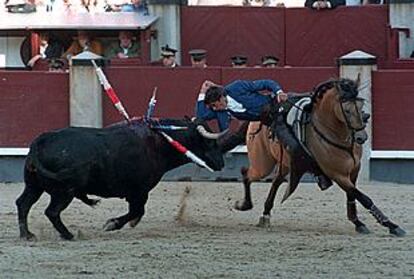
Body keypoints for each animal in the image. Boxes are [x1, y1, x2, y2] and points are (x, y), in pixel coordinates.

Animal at [16, 118, 225, 241]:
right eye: (209, 142)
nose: (221, 163)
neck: (159, 143)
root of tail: (41, 140)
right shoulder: (139, 191)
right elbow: (137, 210)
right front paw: (112, 224)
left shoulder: (137, 192)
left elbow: (137, 211)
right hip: (64, 192)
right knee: (52, 211)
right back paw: (68, 235)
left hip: (34, 186)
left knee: (23, 203)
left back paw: (27, 235)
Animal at [234, 78, 406, 236]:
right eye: (347, 110)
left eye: (361, 106)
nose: (361, 137)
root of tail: (256, 119)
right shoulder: (337, 174)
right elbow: (363, 197)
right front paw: (391, 225)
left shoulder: (354, 170)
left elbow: (352, 195)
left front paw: (358, 222)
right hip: (263, 164)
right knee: (246, 173)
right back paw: (243, 204)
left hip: (286, 164)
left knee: (275, 182)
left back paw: (265, 214)